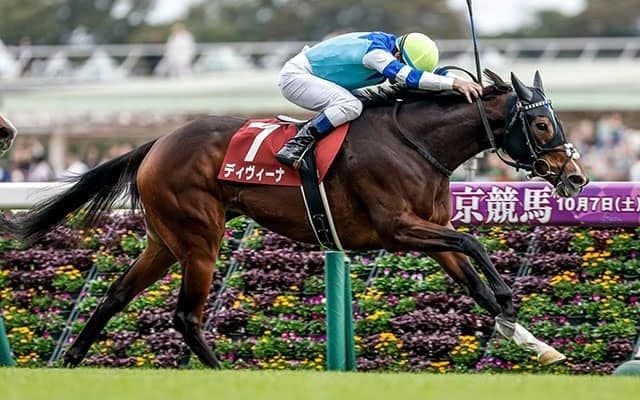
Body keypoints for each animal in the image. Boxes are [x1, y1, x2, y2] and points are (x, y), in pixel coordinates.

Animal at [0, 69, 588, 368]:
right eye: (541, 125)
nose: (576, 176)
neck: (414, 143)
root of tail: (156, 143)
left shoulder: (428, 232)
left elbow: (472, 273)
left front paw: (532, 339)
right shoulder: (397, 228)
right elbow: (475, 245)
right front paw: (511, 304)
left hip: (165, 240)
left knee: (116, 295)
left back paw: (70, 360)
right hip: (200, 237)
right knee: (186, 316)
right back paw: (225, 375)